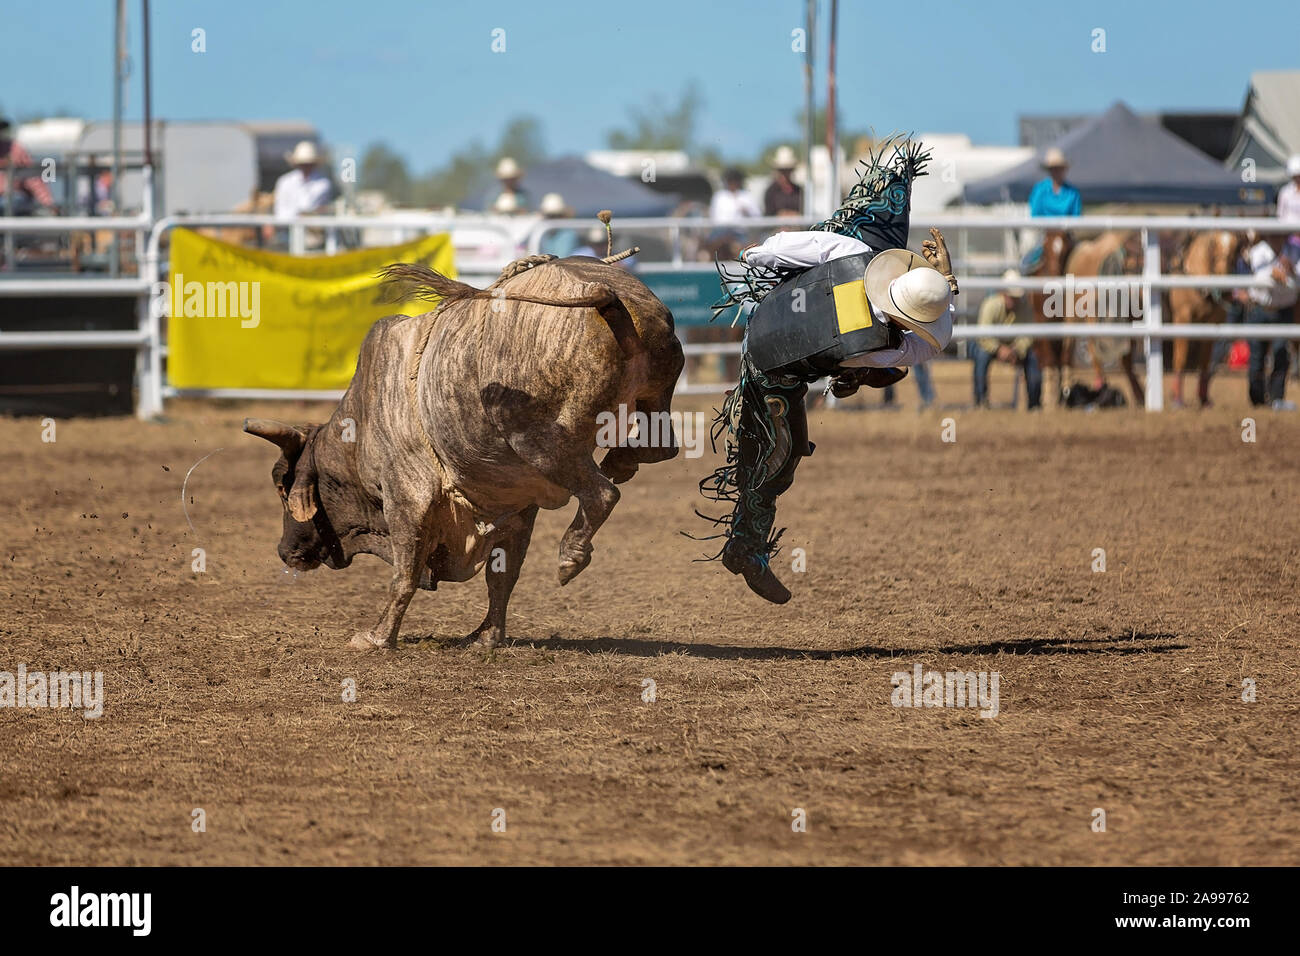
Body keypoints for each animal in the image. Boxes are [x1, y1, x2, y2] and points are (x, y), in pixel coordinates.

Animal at [244, 254, 684, 650]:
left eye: (283, 488)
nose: (284, 551)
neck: (362, 421)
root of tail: (610, 298)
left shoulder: (408, 497)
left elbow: (405, 573)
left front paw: (376, 637)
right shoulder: (517, 509)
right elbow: (502, 575)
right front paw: (486, 636)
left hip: (533, 435)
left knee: (601, 493)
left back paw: (572, 552)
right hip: (653, 390)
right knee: (661, 447)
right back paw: (624, 459)